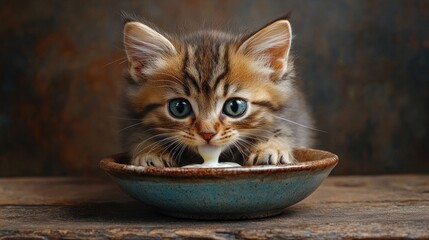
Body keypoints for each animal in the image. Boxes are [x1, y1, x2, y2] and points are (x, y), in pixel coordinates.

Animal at [118, 16, 312, 167]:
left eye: (235, 107)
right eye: (179, 107)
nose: (207, 134)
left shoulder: (292, 114)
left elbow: (282, 130)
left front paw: (271, 148)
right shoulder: (131, 120)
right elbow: (139, 135)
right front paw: (150, 152)